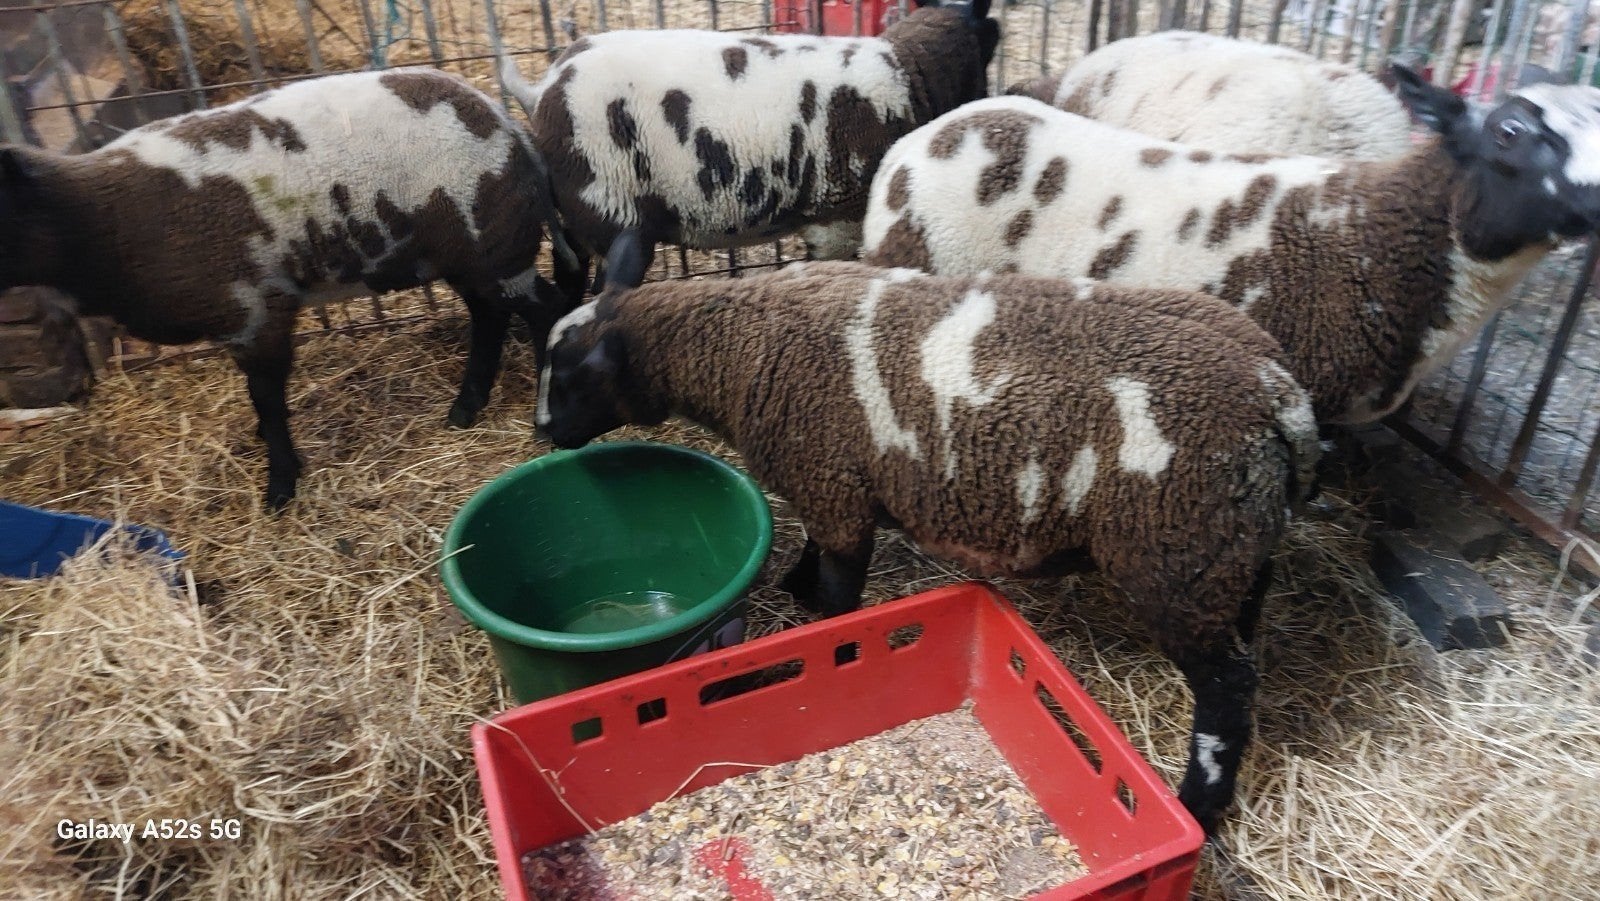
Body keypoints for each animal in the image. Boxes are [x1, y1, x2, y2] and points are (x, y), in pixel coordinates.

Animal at [0, 67, 578, 508]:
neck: (98, 222)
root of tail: (506, 124)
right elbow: (263, 400)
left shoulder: (257, 308)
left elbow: (268, 398)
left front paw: (280, 484)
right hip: (464, 254)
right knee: (490, 317)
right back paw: (465, 408)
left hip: (496, 247)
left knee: (546, 311)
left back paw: (539, 416)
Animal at [498, 0, 1000, 293]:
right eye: (991, 40)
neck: (908, 78)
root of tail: (544, 91)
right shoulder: (838, 215)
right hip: (612, 207)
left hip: (577, 218)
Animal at [534, 252, 1321, 832]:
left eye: (570, 376)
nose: (542, 433)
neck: (741, 345)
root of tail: (1277, 396)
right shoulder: (831, 486)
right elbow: (815, 551)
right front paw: (795, 584)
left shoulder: (831, 480)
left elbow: (839, 592)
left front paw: (824, 641)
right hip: (1232, 553)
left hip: (1175, 553)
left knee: (1226, 688)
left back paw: (1200, 804)